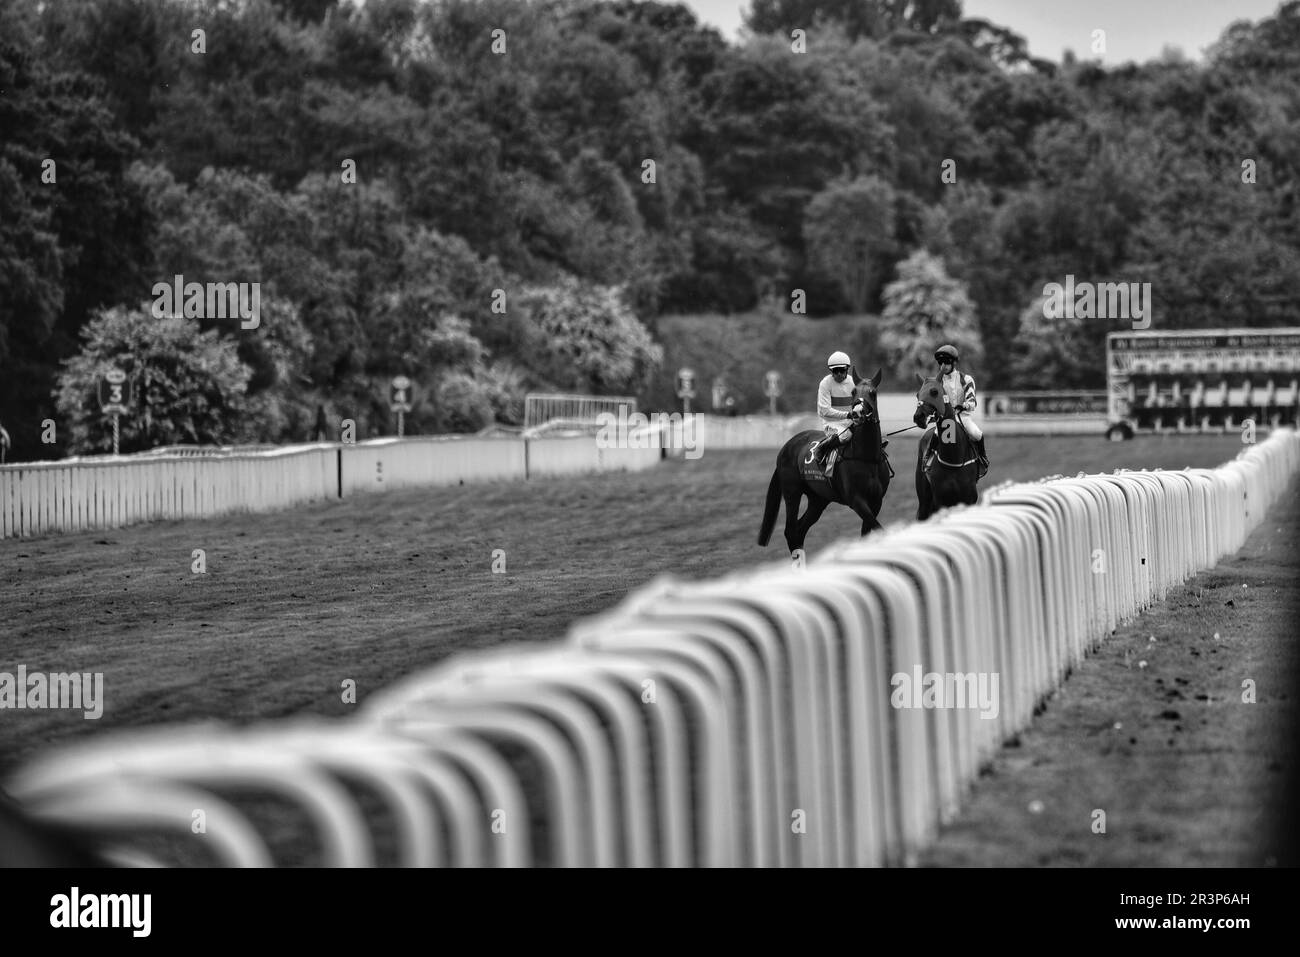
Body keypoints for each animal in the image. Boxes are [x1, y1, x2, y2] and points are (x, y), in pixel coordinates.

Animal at [759, 369, 889, 561]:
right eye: (853, 392)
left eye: (873, 393)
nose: (857, 413)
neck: (866, 458)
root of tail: (786, 447)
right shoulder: (856, 500)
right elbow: (880, 530)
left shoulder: (876, 500)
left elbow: (869, 533)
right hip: (792, 492)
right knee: (790, 531)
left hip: (818, 499)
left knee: (800, 530)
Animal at [909, 374, 977, 522]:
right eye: (917, 395)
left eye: (934, 392)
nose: (918, 417)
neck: (953, 458)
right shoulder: (941, 499)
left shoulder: (969, 498)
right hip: (924, 497)